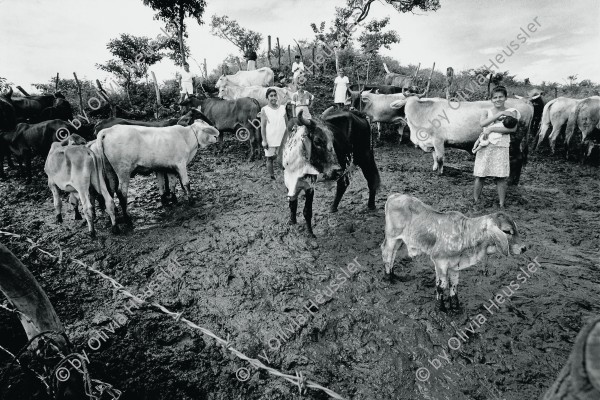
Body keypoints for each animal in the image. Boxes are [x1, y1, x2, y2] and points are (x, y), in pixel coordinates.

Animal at [380, 194, 524, 312]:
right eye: (507, 231)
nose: (524, 248)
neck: (464, 234)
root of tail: (394, 195)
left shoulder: (455, 265)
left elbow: (454, 286)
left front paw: (455, 306)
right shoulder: (439, 262)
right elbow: (441, 286)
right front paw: (441, 308)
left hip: (399, 240)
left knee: (393, 254)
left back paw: (393, 275)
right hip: (392, 237)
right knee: (387, 253)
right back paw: (388, 277)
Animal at [390, 97, 536, 186]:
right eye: (405, 105)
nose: (405, 114)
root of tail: (525, 101)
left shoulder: (438, 140)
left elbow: (440, 158)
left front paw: (440, 172)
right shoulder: (431, 143)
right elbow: (434, 157)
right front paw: (435, 168)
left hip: (514, 142)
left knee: (517, 159)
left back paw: (512, 181)